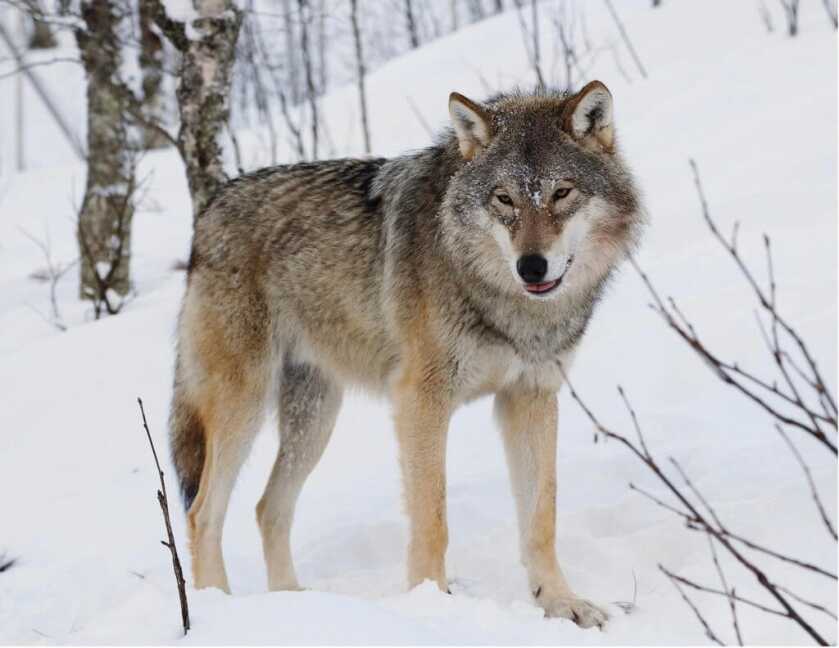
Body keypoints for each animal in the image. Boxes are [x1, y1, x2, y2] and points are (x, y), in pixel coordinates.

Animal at [169, 80, 643, 628]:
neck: (504, 302)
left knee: (269, 508)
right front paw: (432, 604)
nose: (531, 266)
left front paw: (561, 603)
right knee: (203, 512)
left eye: (562, 193)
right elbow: (432, 517)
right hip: (242, 408)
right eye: (504, 199)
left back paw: (294, 604)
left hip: (315, 419)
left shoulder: (531, 396)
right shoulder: (421, 400)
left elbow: (541, 517)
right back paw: (217, 609)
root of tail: (210, 209)